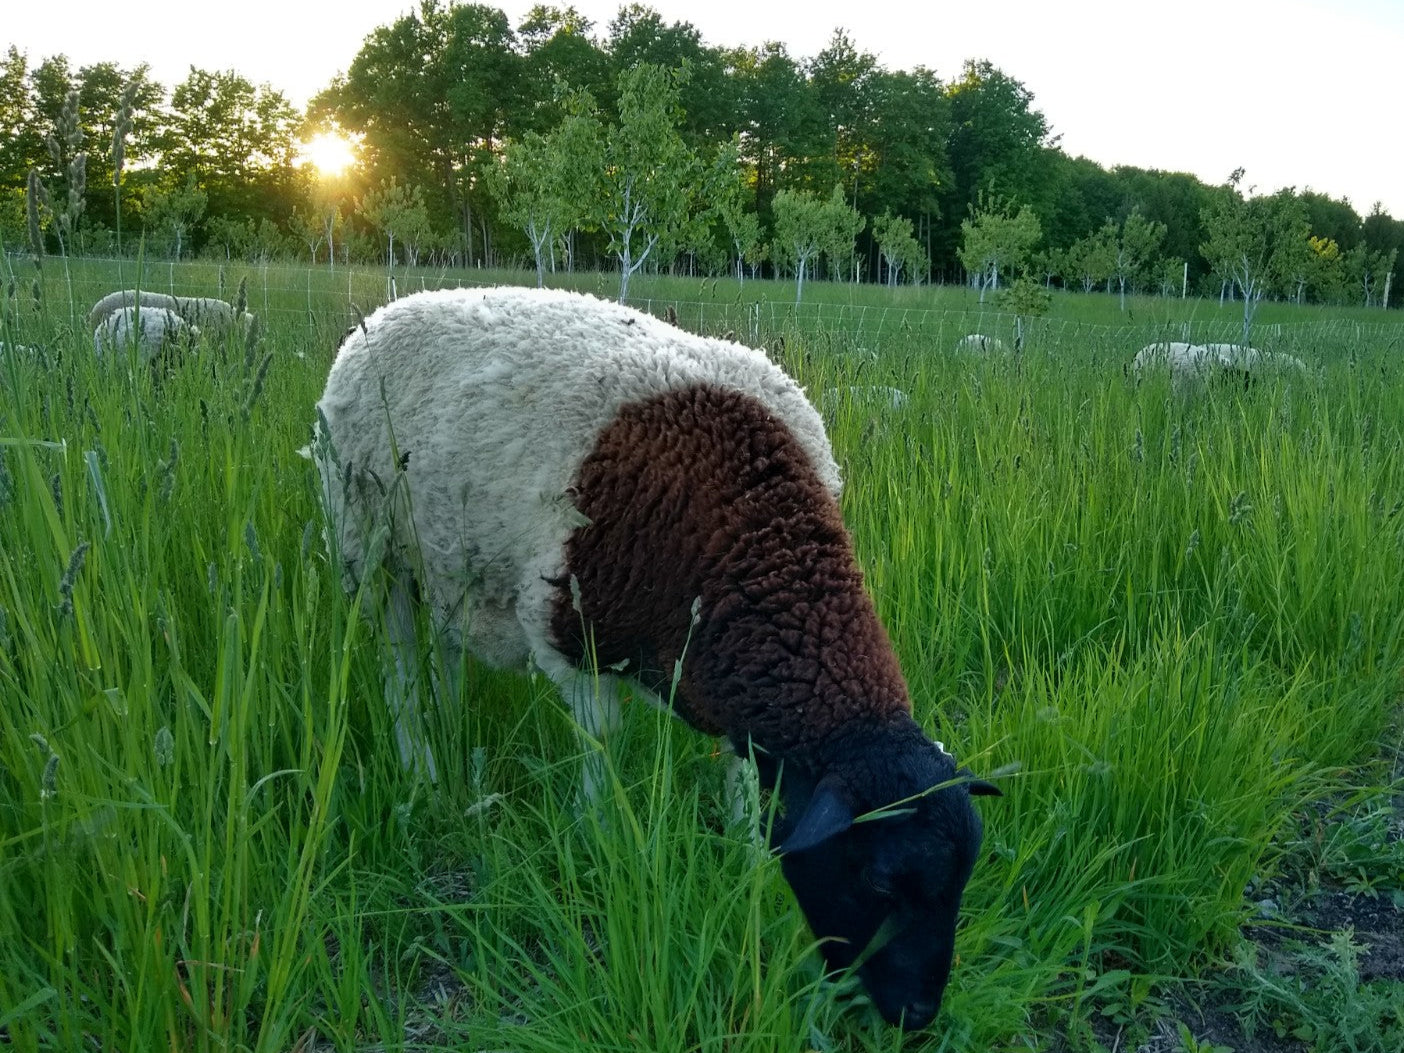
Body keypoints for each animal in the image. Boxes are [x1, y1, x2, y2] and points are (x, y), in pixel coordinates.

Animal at [318, 286, 999, 1033]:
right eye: (879, 880)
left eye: (964, 881)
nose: (918, 1014)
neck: (750, 539)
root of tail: (394, 306)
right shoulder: (571, 634)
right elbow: (603, 746)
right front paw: (598, 840)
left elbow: (741, 775)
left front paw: (744, 858)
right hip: (369, 548)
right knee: (401, 672)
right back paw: (422, 770)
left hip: (439, 564)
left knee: (439, 655)